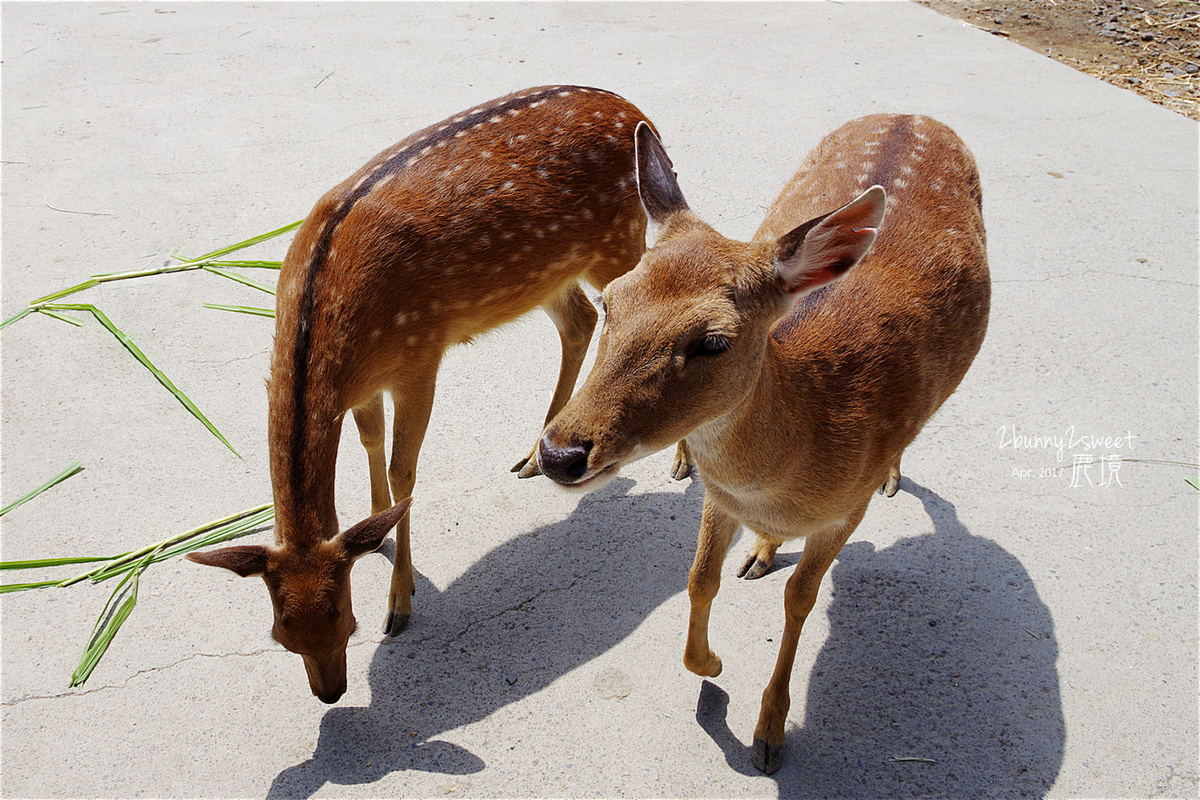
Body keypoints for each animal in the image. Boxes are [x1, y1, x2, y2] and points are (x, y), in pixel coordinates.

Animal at [189, 86, 657, 700]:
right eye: (281, 633)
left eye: (347, 620)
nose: (331, 692)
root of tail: (639, 113)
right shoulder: (364, 385)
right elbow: (370, 442)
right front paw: (375, 531)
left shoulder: (419, 353)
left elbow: (402, 470)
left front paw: (401, 600)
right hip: (552, 273)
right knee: (579, 321)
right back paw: (534, 456)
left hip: (618, 242)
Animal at [540, 115, 988, 772]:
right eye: (609, 300)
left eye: (714, 341)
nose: (559, 454)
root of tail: (918, 115)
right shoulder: (720, 496)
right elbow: (699, 577)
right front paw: (713, 667)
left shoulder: (846, 509)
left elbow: (800, 599)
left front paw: (769, 734)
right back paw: (758, 548)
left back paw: (889, 477)